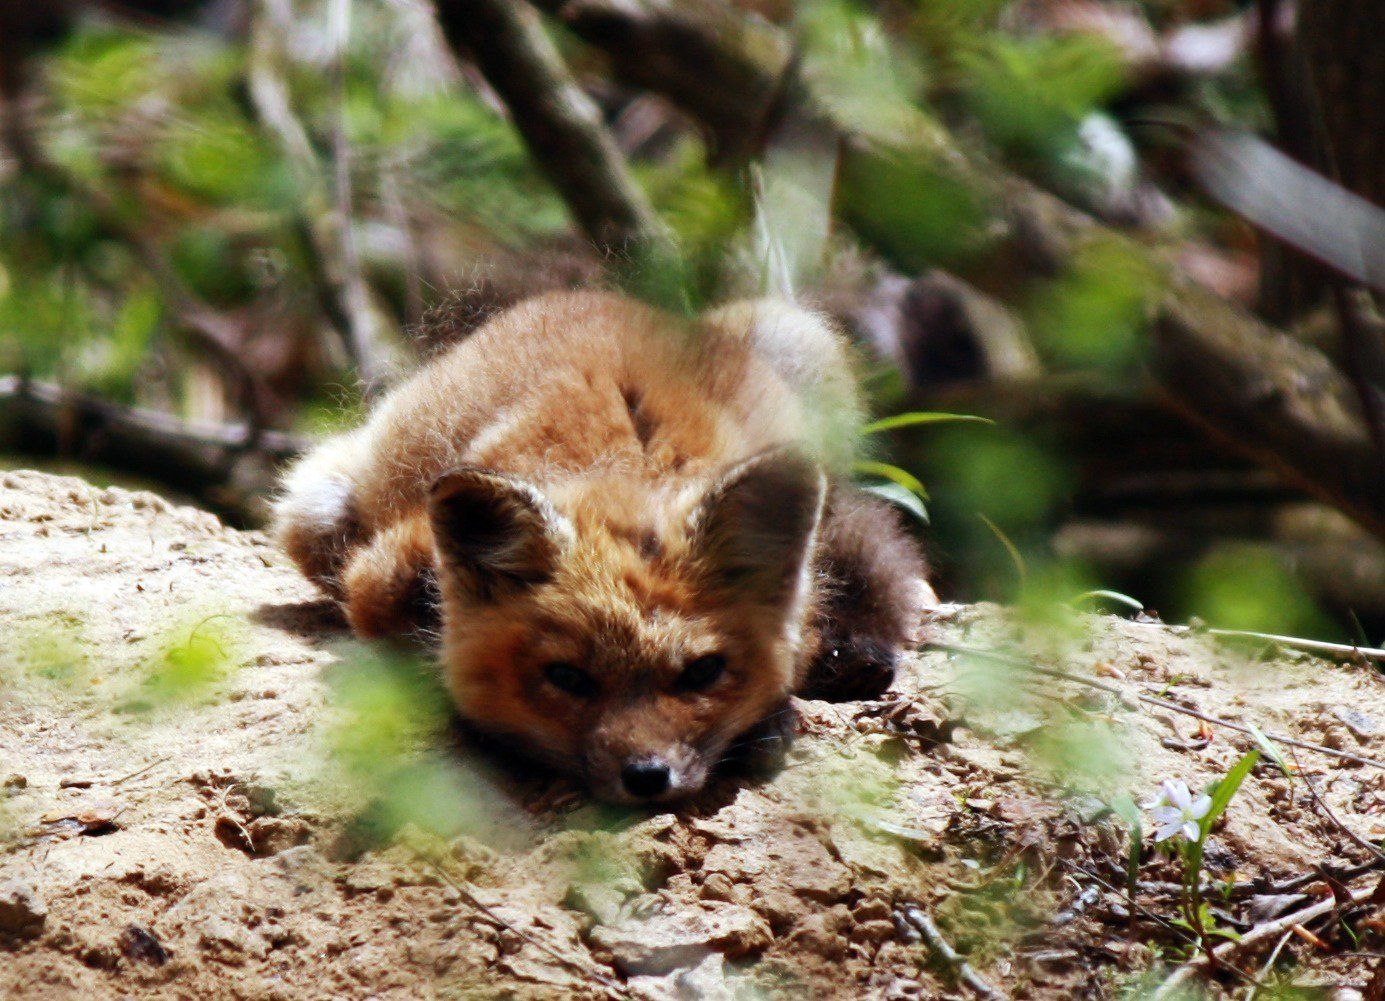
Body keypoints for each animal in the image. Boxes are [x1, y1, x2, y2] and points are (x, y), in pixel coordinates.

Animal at [275, 290, 933, 803]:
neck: (624, 466)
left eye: (702, 672)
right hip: (314, 507)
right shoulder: (380, 575)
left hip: (798, 342)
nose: (646, 776)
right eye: (568, 677)